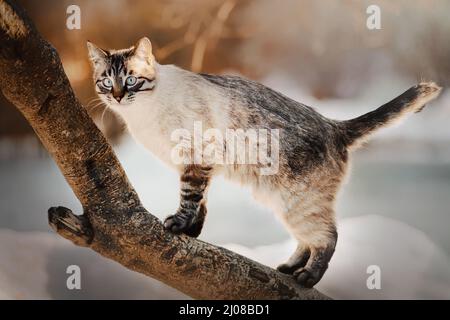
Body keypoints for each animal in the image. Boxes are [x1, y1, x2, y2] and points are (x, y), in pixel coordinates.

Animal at [86, 37, 442, 288]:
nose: (117, 96)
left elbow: (189, 198)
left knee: (328, 237)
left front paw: (179, 225)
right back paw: (289, 267)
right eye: (106, 81)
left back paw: (308, 277)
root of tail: (335, 125)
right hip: (283, 200)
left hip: (296, 201)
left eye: (131, 80)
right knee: (308, 238)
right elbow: (201, 202)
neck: (140, 116)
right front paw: (192, 231)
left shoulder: (196, 159)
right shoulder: (197, 165)